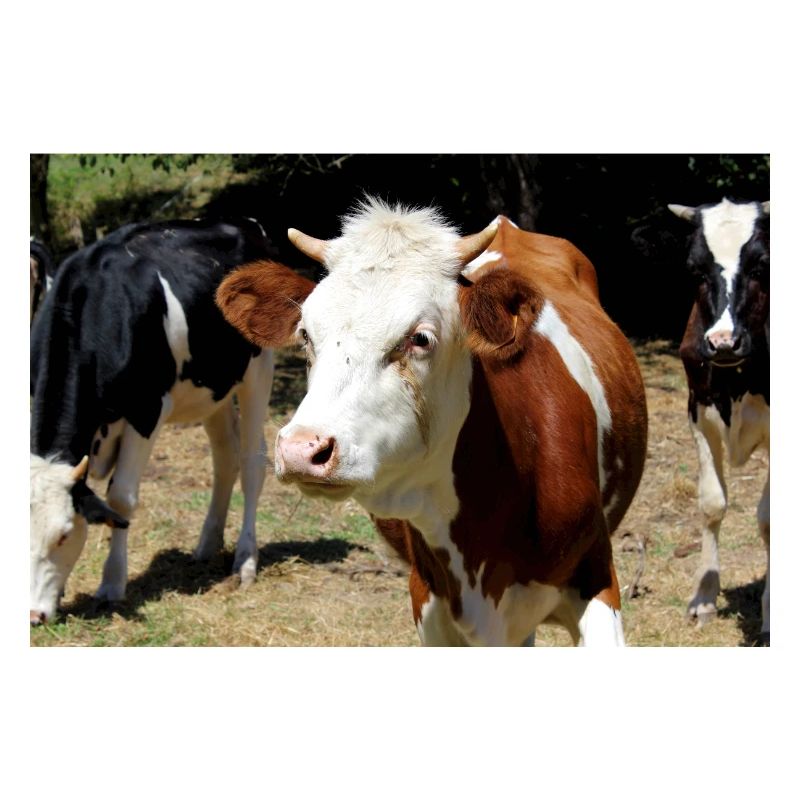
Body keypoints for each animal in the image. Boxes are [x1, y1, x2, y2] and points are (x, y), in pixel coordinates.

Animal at [30, 218, 276, 626]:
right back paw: (207, 545)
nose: (33, 615)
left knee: (252, 461)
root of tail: (245, 224)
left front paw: (111, 584)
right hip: (212, 387)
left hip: (258, 367)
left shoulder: (147, 410)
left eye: (64, 535)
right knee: (224, 455)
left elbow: (121, 498)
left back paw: (245, 561)